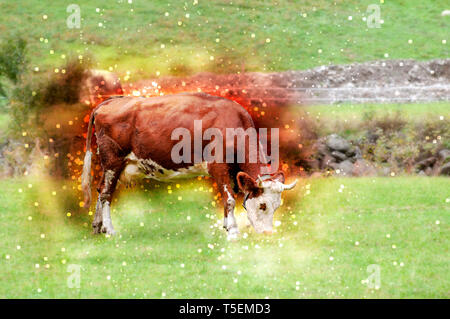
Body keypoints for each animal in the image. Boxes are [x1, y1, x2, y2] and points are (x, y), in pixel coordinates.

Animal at [82, 94, 298, 239]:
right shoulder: (218, 166)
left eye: (277, 206)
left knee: (101, 189)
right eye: (262, 205)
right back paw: (109, 229)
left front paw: (226, 226)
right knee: (106, 193)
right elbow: (228, 199)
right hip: (113, 160)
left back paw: (97, 226)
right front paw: (233, 232)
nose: (268, 234)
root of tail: (110, 101)